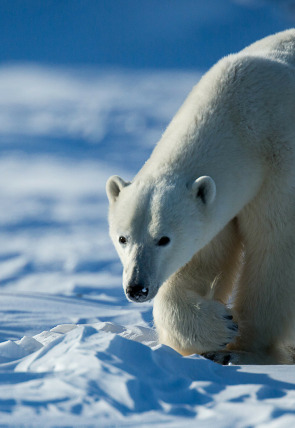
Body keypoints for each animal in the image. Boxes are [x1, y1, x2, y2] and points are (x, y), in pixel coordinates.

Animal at [106, 30, 295, 364]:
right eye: (122, 238)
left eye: (163, 239)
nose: (137, 288)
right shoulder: (219, 206)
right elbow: (202, 260)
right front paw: (219, 327)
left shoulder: (282, 169)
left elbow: (277, 251)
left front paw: (245, 350)